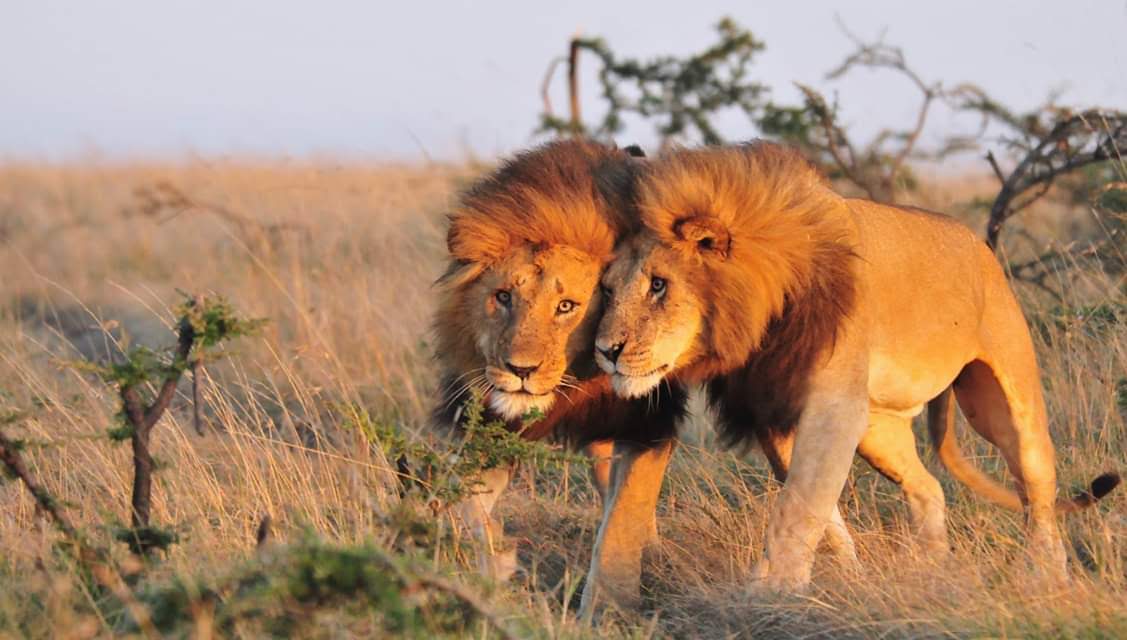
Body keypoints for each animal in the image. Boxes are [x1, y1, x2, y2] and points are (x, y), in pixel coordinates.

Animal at [430, 139, 687, 613]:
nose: (520, 370)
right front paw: (497, 568)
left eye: (566, 306)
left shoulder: (648, 423)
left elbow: (623, 519)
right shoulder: (488, 428)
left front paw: (605, 607)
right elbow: (471, 506)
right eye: (503, 297)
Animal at [594, 141, 1120, 594]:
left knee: (1038, 494)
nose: (605, 350)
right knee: (929, 487)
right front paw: (842, 574)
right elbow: (818, 508)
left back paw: (1046, 579)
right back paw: (933, 569)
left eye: (658, 285)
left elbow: (800, 505)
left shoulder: (832, 409)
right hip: (879, 428)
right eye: (608, 289)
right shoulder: (775, 412)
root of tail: (978, 241)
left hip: (1006, 401)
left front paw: (773, 592)